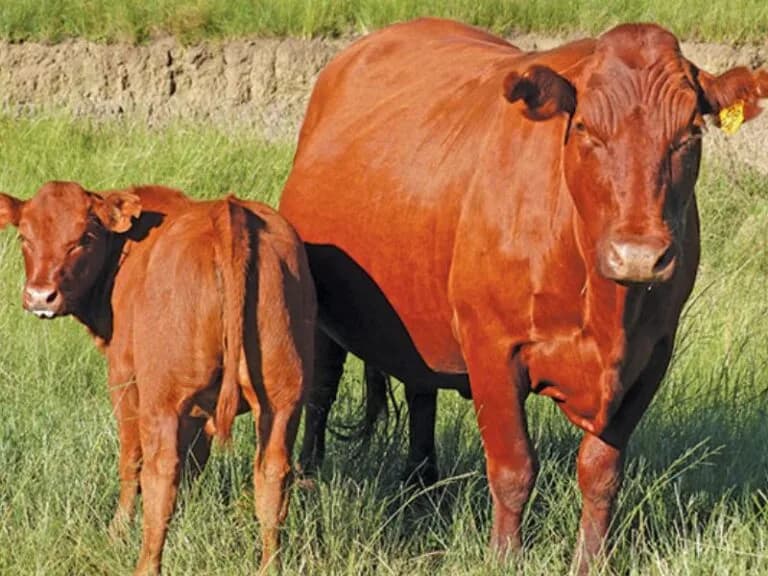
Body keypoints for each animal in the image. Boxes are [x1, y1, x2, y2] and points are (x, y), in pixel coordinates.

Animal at [0, 181, 316, 575]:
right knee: (272, 477)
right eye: (24, 237)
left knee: (160, 474)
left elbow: (131, 460)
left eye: (84, 237)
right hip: (282, 401)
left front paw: (117, 532)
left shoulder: (124, 378)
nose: (40, 296)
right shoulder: (200, 410)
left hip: (162, 401)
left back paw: (145, 563)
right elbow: (195, 460)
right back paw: (269, 565)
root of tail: (229, 211)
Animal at [279, 17, 768, 573]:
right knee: (320, 390)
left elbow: (601, 471)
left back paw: (422, 490)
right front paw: (504, 556)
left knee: (421, 390)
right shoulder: (492, 346)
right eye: (585, 129)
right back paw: (312, 482)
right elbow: (513, 467)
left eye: (690, 132)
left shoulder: (652, 356)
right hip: (320, 308)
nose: (639, 255)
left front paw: (591, 560)